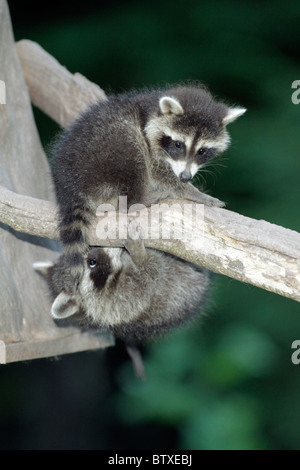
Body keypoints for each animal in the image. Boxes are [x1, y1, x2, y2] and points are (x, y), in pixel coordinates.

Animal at [50, 84, 245, 290]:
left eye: (202, 151)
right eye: (178, 144)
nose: (185, 177)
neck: (152, 111)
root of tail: (70, 188)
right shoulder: (149, 143)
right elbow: (161, 173)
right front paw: (195, 193)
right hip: (107, 152)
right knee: (133, 153)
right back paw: (140, 200)